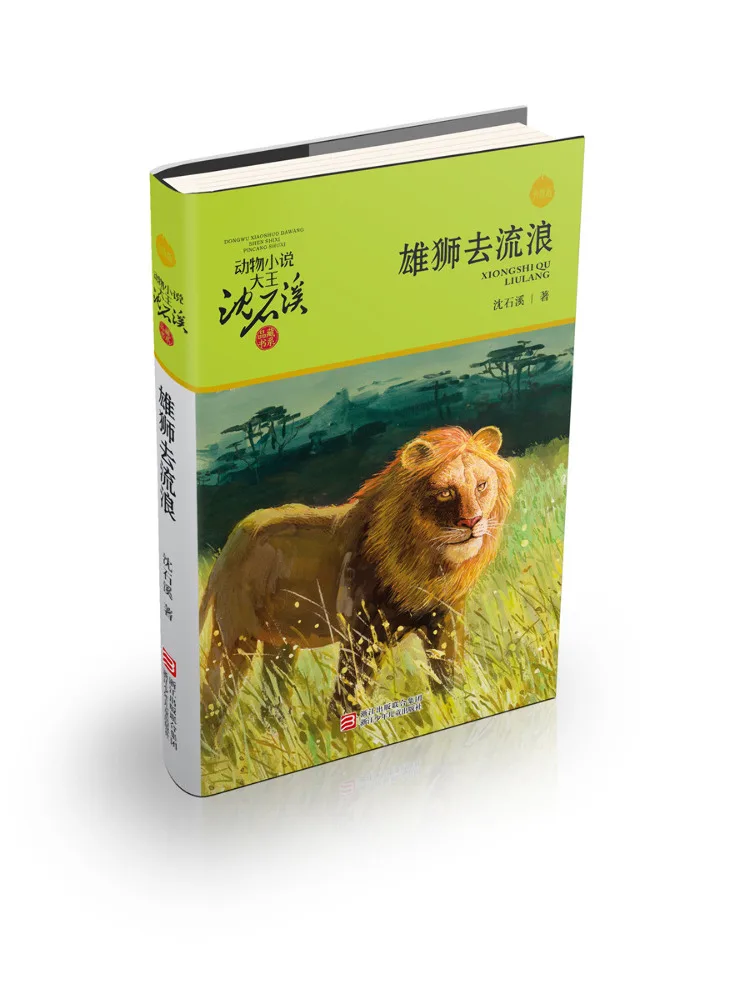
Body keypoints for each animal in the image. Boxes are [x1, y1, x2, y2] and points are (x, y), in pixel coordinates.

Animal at [199, 425, 513, 730]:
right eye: (446, 492)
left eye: (481, 485)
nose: (472, 522)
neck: (429, 562)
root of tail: (233, 538)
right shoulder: (363, 636)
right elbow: (347, 697)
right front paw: (342, 737)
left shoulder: (445, 622)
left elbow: (449, 682)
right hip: (234, 639)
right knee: (213, 701)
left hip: (281, 645)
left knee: (272, 701)